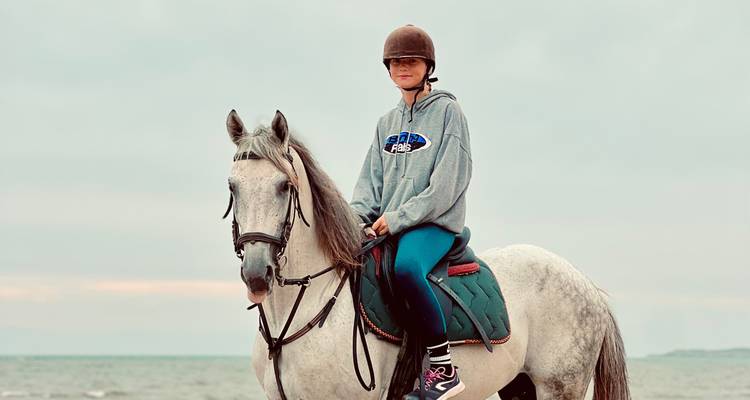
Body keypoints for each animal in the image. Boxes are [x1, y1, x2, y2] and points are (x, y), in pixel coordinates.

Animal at [222, 109, 630, 400]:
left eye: (283, 186)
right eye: (232, 186)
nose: (257, 274)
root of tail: (587, 285)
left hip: (559, 386)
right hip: (520, 385)